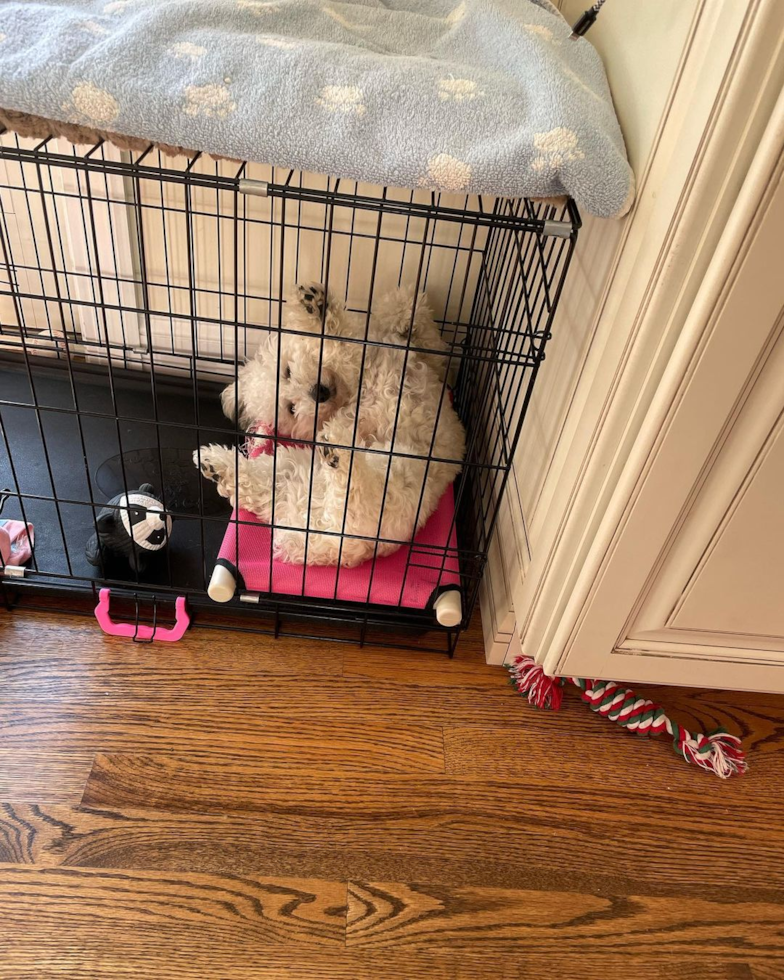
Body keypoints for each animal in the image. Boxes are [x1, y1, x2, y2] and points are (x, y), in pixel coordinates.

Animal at [196, 284, 466, 568]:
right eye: (291, 408)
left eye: (287, 372)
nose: (319, 393)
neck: (346, 394)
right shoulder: (360, 361)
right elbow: (342, 344)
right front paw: (320, 312)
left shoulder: (432, 365)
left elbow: (426, 339)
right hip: (387, 489)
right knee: (353, 497)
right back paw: (338, 449)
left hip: (289, 470)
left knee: (258, 484)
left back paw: (214, 464)